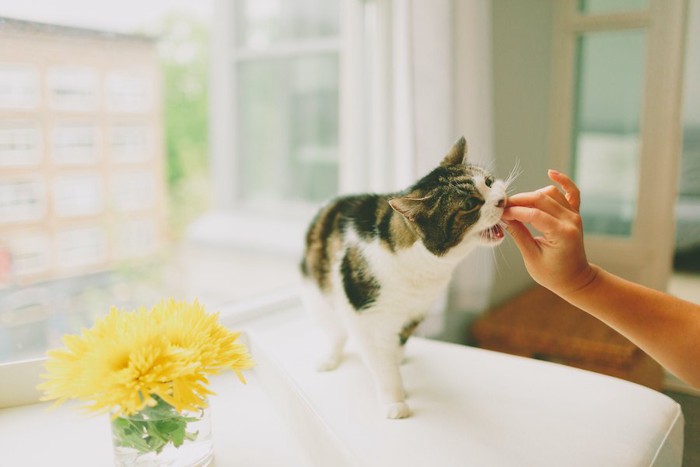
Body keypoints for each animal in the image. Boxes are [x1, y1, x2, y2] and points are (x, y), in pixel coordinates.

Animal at [300, 138, 508, 420]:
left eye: (488, 181)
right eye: (469, 205)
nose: (501, 200)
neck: (422, 270)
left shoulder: (414, 314)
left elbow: (396, 348)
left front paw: (399, 367)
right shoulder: (369, 319)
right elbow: (383, 364)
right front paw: (394, 401)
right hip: (319, 296)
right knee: (335, 331)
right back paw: (329, 359)